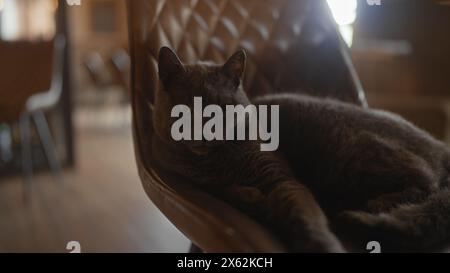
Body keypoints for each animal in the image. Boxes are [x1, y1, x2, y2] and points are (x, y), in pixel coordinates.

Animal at [151, 46, 450, 251]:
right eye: (185, 108)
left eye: (222, 107)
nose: (205, 130)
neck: (215, 162)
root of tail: (440, 145)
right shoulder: (197, 180)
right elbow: (224, 190)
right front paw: (251, 198)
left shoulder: (280, 176)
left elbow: (305, 216)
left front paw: (322, 245)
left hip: (358, 151)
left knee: (427, 183)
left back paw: (377, 204)